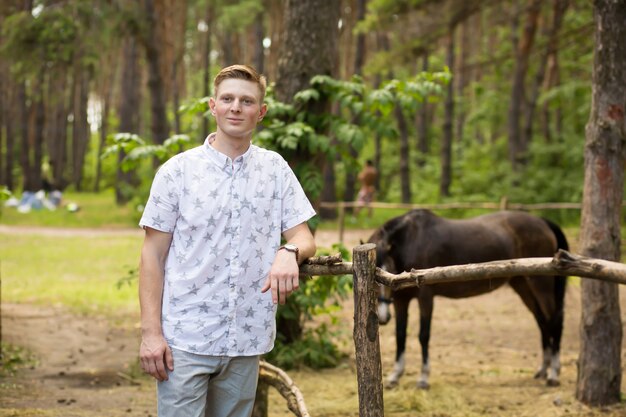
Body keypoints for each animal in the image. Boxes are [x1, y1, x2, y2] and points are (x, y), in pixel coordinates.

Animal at [368, 210, 568, 388]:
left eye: (388, 269)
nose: (383, 317)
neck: (411, 239)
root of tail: (542, 221)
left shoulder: (425, 297)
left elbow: (423, 335)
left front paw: (423, 378)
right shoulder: (401, 300)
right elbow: (400, 334)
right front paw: (395, 375)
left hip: (541, 284)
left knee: (554, 321)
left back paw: (554, 374)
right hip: (522, 285)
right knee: (542, 321)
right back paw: (543, 369)